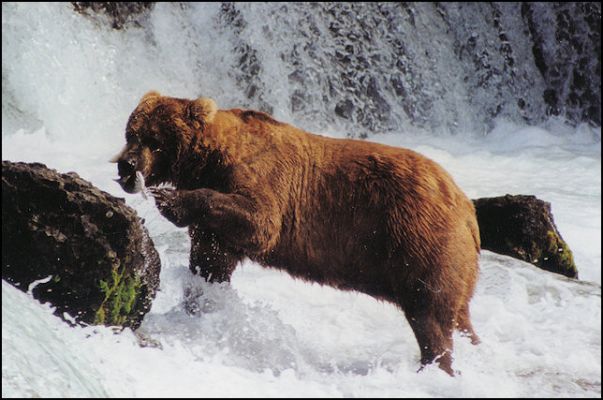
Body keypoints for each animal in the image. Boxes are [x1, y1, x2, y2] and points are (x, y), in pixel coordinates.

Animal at [113, 90, 482, 376]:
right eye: (131, 133)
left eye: (153, 140)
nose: (125, 165)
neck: (206, 160)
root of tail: (465, 205)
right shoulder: (215, 230)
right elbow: (211, 262)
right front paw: (199, 304)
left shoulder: (259, 177)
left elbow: (260, 221)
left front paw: (170, 200)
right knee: (459, 316)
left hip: (419, 238)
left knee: (430, 313)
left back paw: (437, 366)